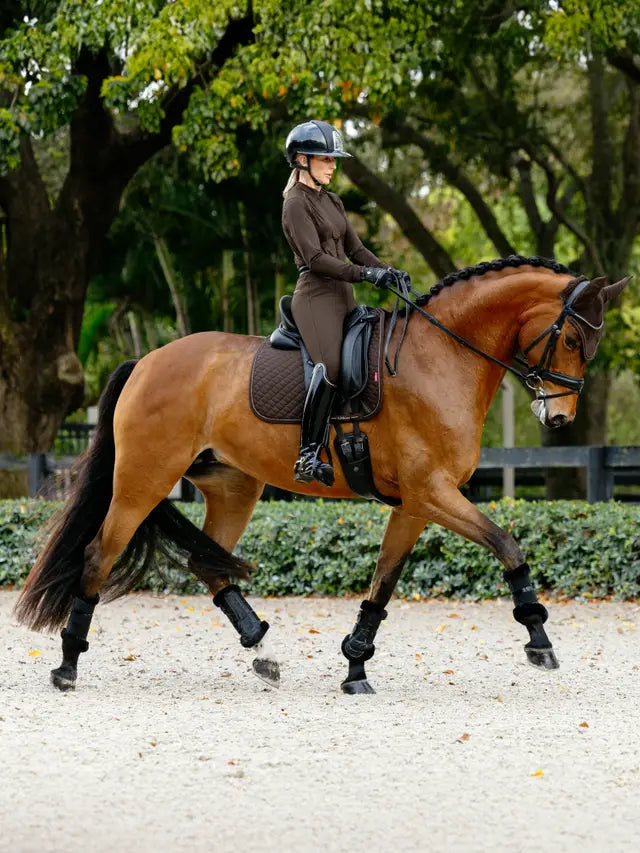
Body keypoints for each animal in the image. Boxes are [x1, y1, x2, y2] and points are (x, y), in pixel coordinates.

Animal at [15, 255, 630, 694]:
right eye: (571, 339)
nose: (558, 417)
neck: (440, 356)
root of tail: (146, 361)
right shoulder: (433, 493)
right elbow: (507, 544)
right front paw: (539, 638)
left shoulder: (416, 503)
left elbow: (382, 584)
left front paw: (356, 668)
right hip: (144, 480)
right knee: (99, 555)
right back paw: (67, 667)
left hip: (234, 486)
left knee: (209, 564)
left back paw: (263, 651)